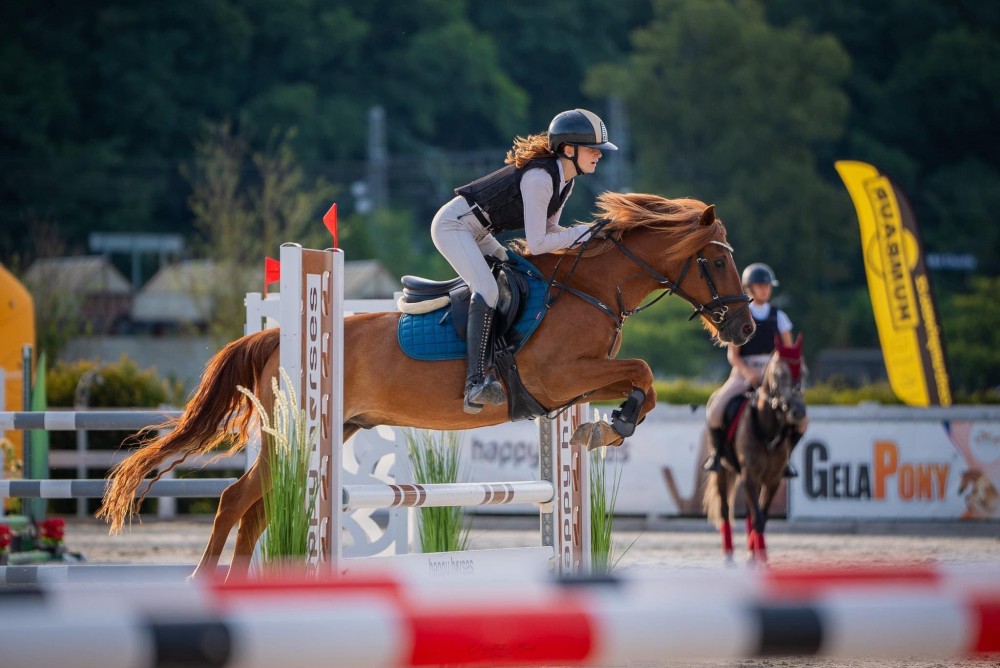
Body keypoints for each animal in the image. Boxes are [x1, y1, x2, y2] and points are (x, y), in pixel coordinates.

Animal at [98, 191, 756, 579]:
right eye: (718, 260)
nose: (745, 328)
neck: (588, 288)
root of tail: (275, 334)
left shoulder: (574, 384)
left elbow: (641, 381)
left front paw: (604, 427)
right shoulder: (558, 375)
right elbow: (642, 371)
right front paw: (611, 426)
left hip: (331, 429)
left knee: (258, 509)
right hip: (296, 433)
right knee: (238, 501)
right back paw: (205, 581)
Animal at [702, 334, 806, 564]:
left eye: (804, 372)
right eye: (779, 373)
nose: (797, 411)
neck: (766, 428)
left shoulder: (773, 480)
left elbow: (761, 517)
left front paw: (757, 555)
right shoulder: (749, 476)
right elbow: (757, 517)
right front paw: (758, 557)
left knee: (751, 511)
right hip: (723, 470)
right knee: (725, 510)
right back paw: (729, 554)